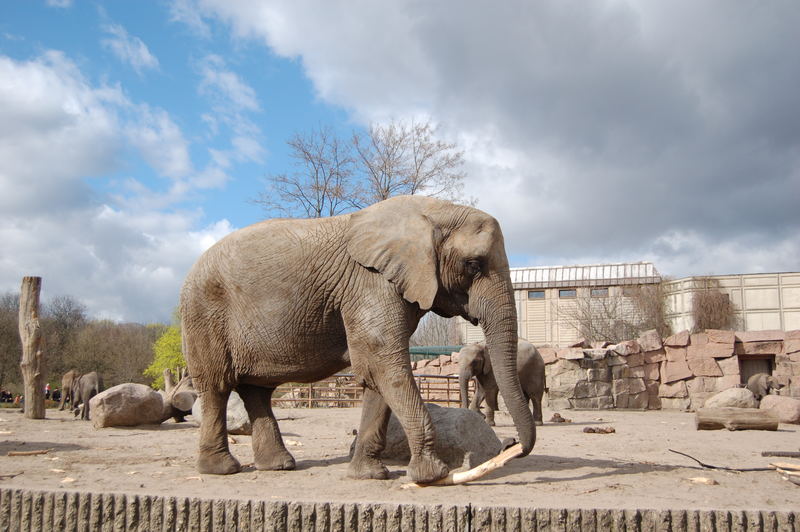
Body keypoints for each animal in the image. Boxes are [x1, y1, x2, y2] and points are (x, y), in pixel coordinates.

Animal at [178, 194, 536, 482]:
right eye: (473, 265)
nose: (511, 444)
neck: (433, 210)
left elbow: (376, 374)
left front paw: (370, 475)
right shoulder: (370, 284)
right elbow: (383, 363)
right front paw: (432, 476)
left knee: (257, 391)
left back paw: (278, 466)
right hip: (204, 313)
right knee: (217, 386)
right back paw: (222, 470)